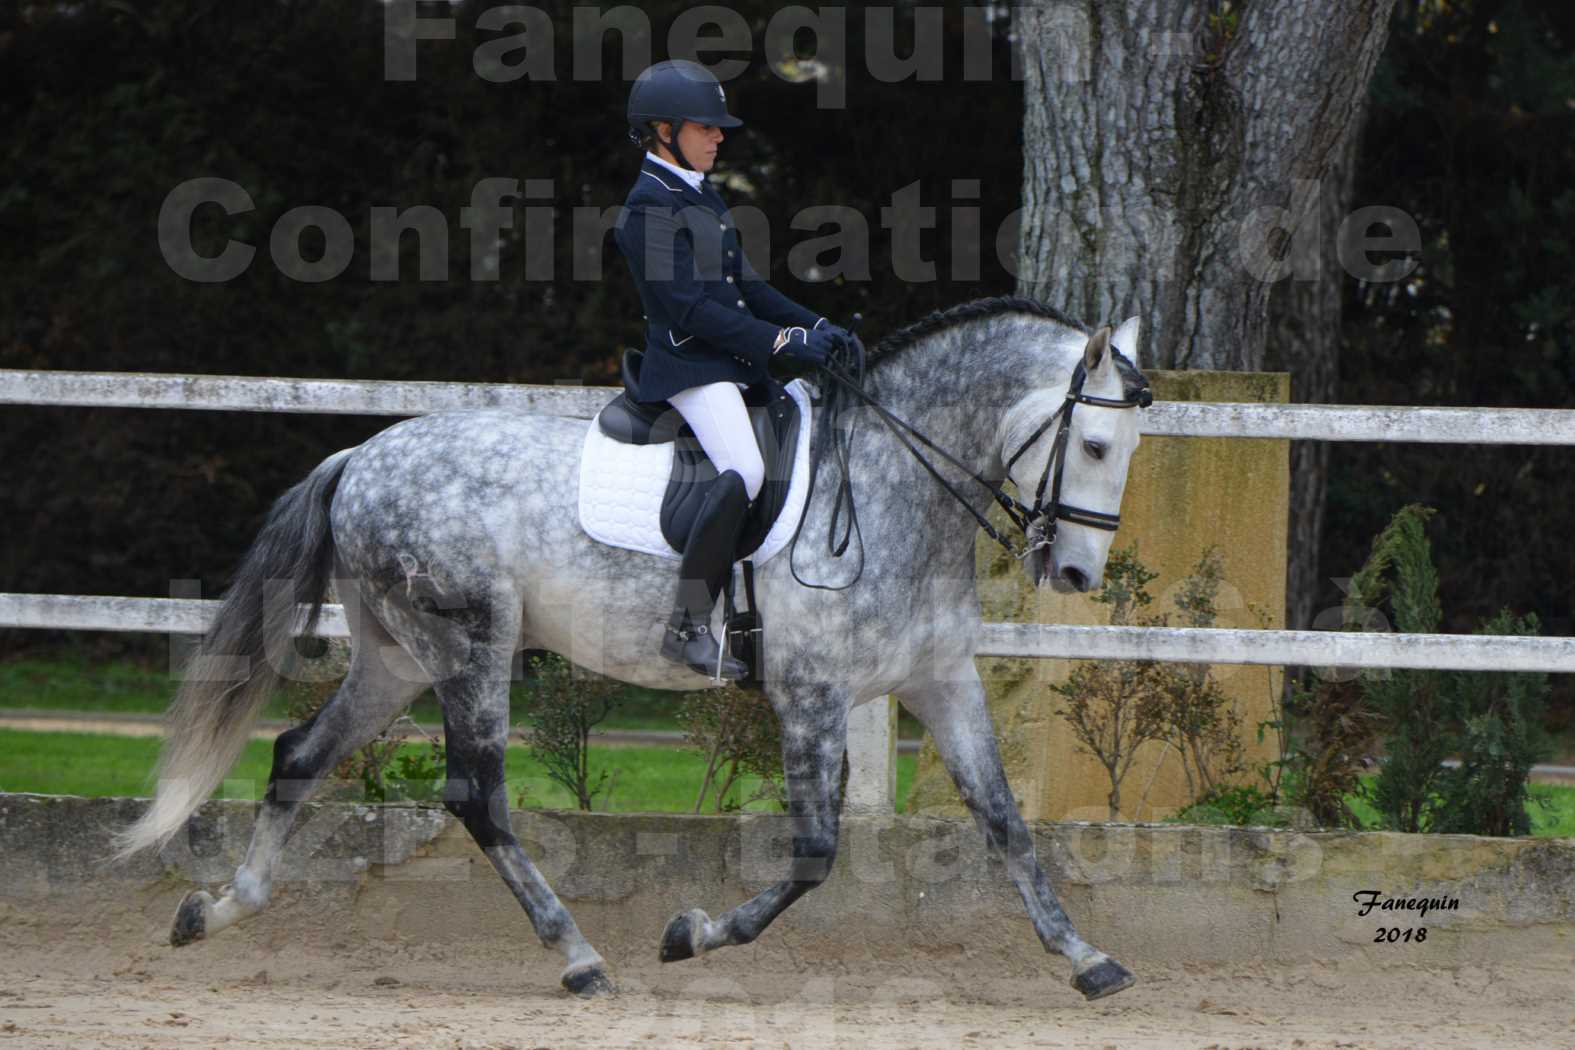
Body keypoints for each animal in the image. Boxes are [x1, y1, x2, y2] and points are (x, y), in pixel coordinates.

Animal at [111, 295, 1146, 1001]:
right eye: (1095, 445)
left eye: (1125, 448)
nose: (1075, 575)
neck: (893, 485)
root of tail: (359, 458)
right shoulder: (811, 693)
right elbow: (814, 853)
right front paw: (691, 934)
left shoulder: (938, 681)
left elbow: (1005, 821)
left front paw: (1088, 959)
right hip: (468, 644)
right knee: (475, 795)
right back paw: (577, 958)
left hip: (398, 657)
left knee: (300, 756)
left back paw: (218, 908)